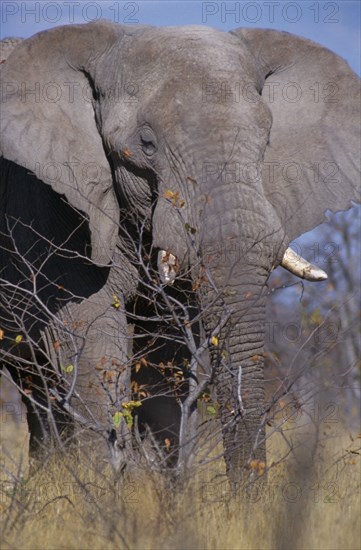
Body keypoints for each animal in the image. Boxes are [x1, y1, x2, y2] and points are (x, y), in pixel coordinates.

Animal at [0, 23, 358, 486]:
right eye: (146, 143)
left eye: (267, 140)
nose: (249, 498)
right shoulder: (49, 206)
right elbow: (91, 339)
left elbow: (163, 356)